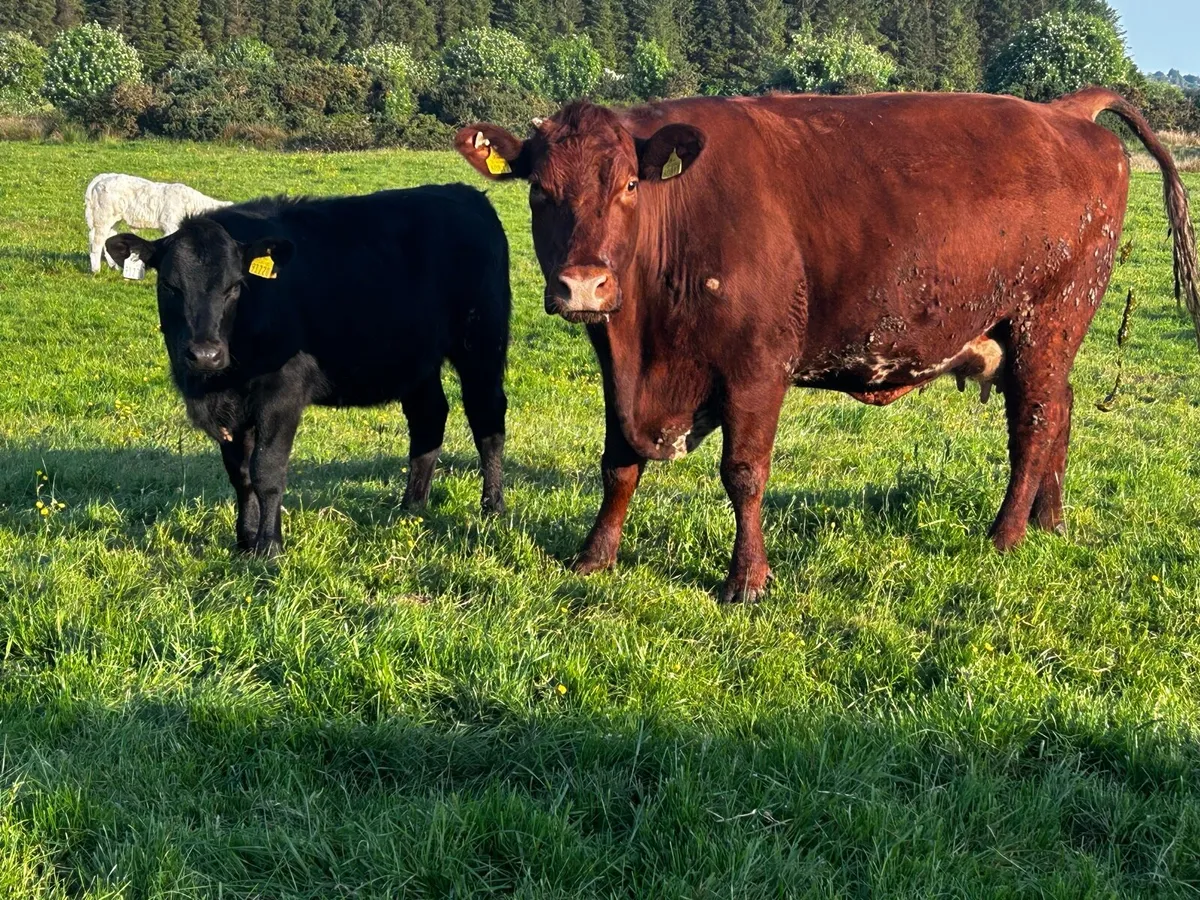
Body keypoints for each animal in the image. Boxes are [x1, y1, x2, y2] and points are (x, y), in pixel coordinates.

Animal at [87, 173, 233, 273]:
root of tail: (103, 178)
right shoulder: (170, 226)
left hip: (114, 219)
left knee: (108, 238)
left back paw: (115, 266)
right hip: (103, 218)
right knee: (97, 242)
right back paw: (96, 270)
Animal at [104, 185, 510, 557]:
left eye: (235, 286)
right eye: (169, 285)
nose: (205, 354)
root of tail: (466, 193)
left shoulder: (282, 393)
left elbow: (267, 472)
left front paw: (269, 548)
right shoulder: (231, 410)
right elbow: (240, 475)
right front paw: (244, 542)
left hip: (482, 344)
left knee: (486, 420)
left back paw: (492, 507)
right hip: (417, 360)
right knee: (428, 418)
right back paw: (411, 507)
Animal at [455, 88, 1200, 602]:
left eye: (630, 184)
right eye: (539, 191)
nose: (584, 284)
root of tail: (1064, 114)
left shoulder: (757, 367)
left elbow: (744, 473)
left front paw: (746, 580)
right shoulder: (620, 366)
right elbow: (618, 463)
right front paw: (595, 555)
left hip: (1047, 319)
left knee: (1035, 424)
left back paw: (1007, 533)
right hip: (1039, 336)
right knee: (1060, 412)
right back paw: (1051, 522)